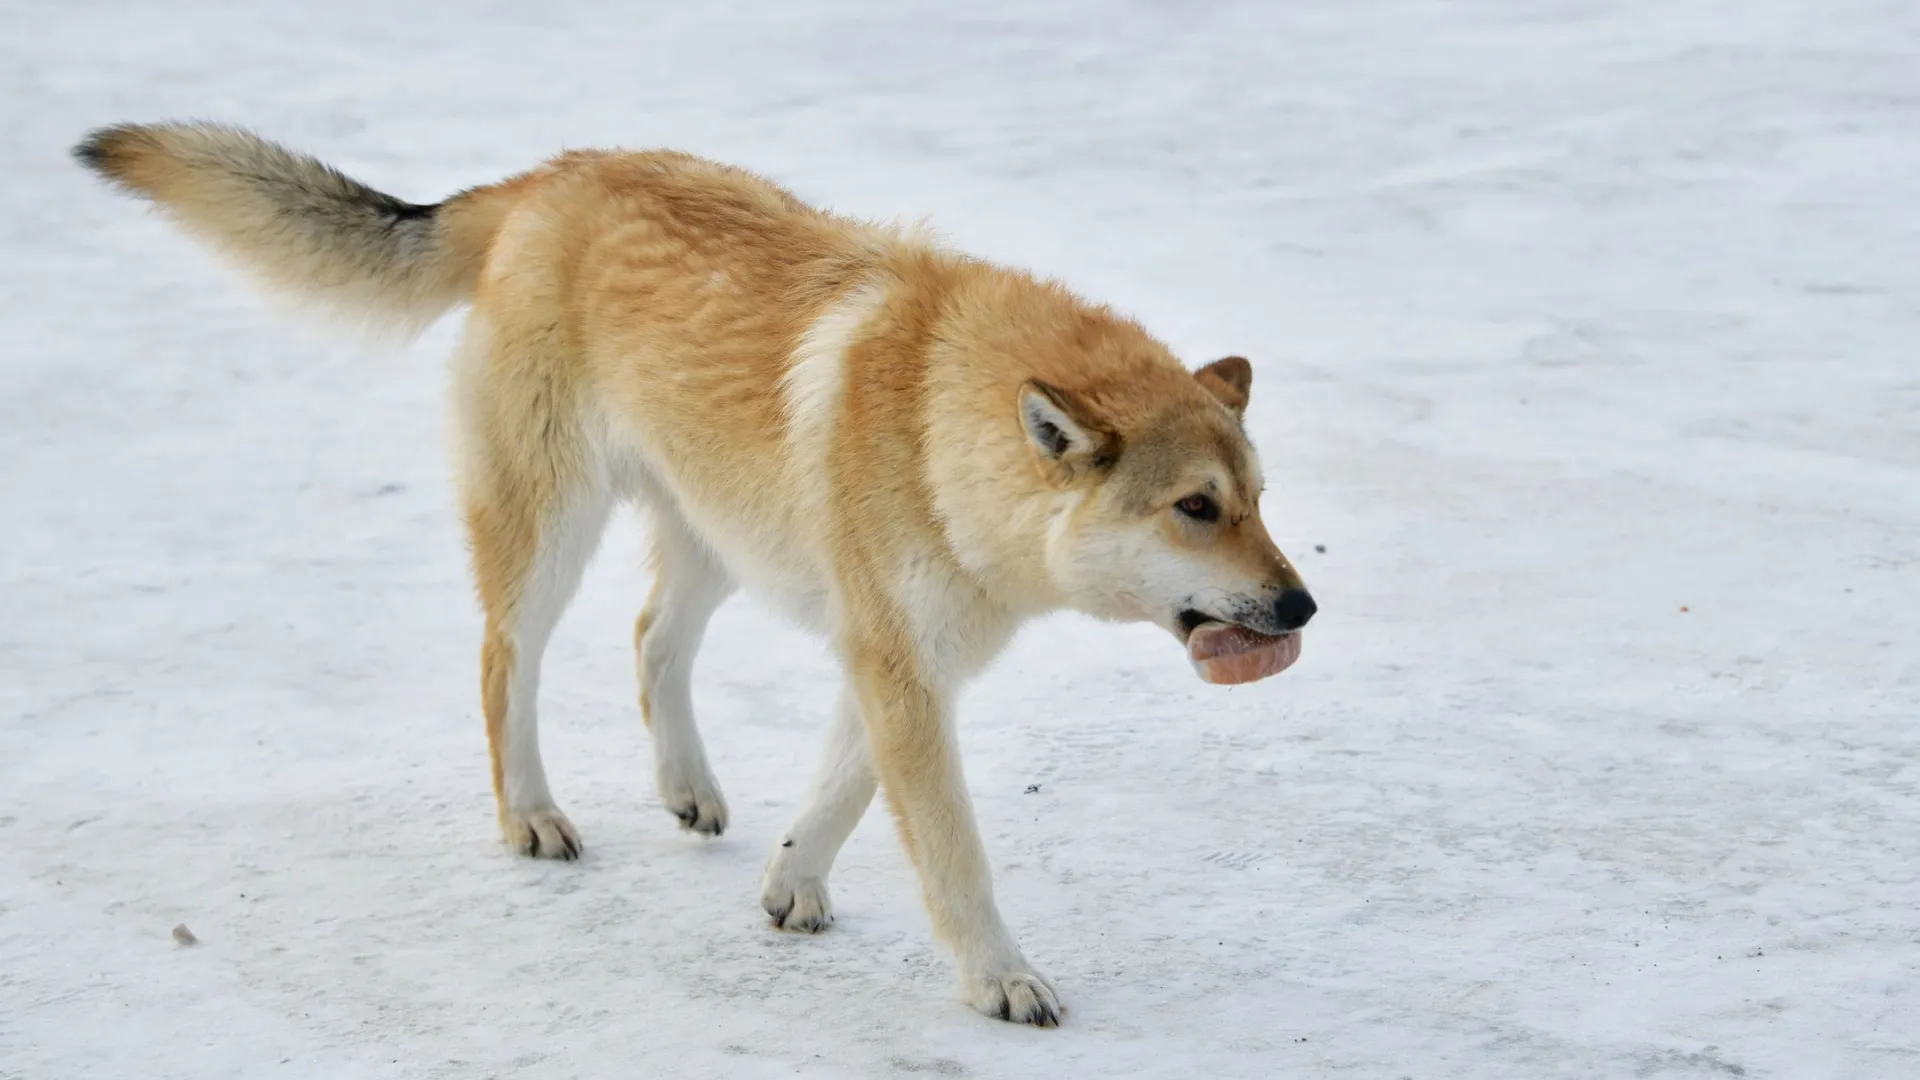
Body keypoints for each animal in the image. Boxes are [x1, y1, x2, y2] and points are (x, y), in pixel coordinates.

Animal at [71, 122, 1305, 1022]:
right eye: (1197, 508)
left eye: (1257, 498)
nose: (1303, 604)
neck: (938, 422)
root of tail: (545, 180)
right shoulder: (900, 668)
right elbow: (953, 851)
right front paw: (1000, 979)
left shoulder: (895, 663)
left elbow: (843, 791)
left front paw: (791, 886)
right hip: (556, 530)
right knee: (505, 662)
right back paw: (533, 817)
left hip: (719, 534)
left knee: (650, 638)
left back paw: (688, 788)